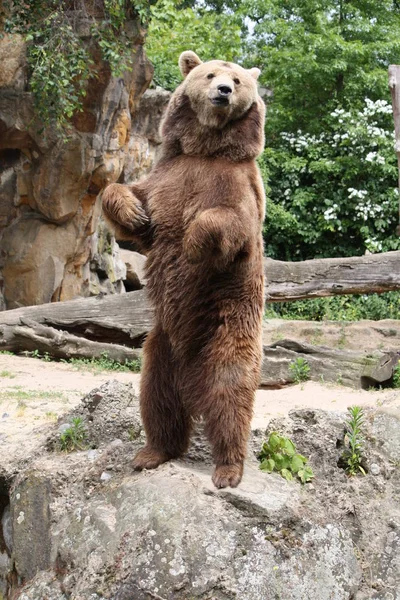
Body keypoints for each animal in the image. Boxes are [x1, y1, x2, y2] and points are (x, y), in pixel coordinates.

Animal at [102, 51, 266, 490]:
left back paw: (227, 469)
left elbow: (228, 222)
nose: (223, 91)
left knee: (230, 394)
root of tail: (192, 380)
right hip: (160, 347)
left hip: (228, 326)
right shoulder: (168, 177)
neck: (207, 149)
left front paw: (193, 243)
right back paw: (151, 452)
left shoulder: (236, 186)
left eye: (237, 80)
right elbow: (130, 202)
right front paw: (133, 213)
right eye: (210, 74)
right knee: (156, 397)